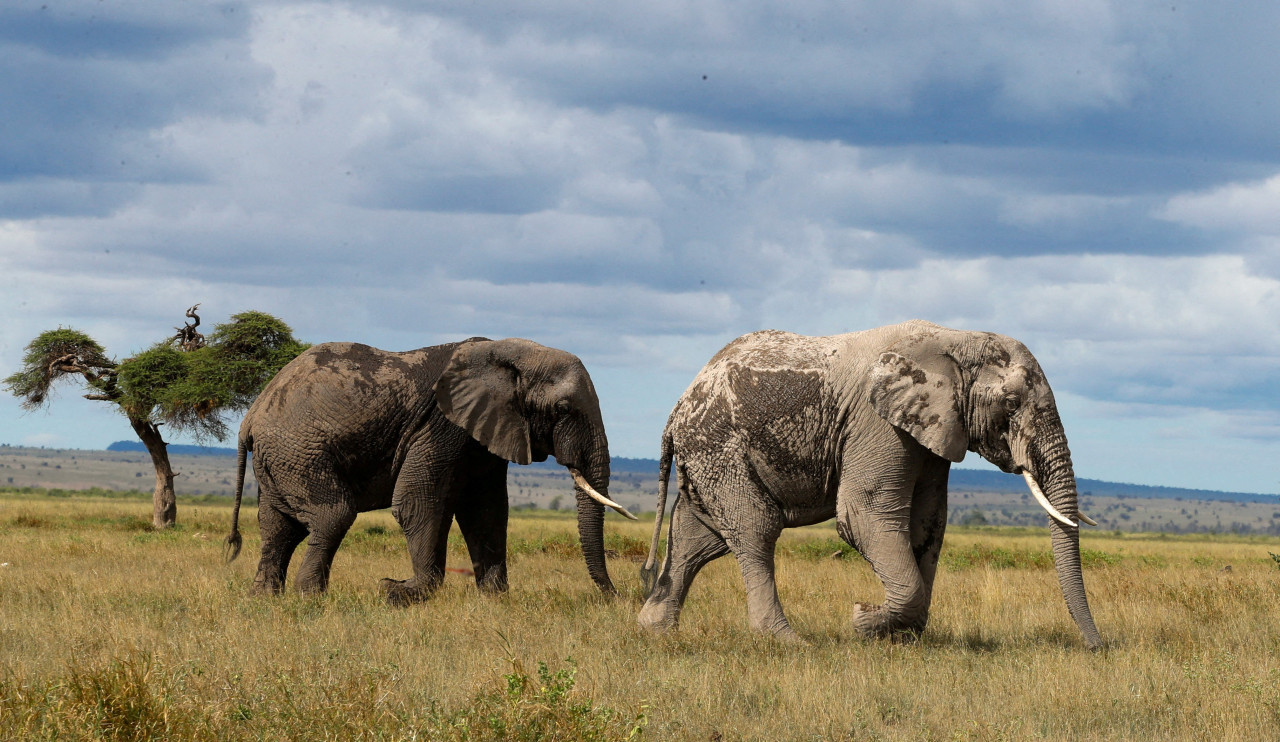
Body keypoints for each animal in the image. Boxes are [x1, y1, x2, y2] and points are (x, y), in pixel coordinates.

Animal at [227, 335, 637, 603]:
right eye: (563, 409)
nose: (615, 598)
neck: (505, 352)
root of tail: (251, 416)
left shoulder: (484, 435)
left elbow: (486, 511)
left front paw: (495, 599)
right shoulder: (441, 425)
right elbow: (417, 502)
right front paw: (399, 591)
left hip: (282, 459)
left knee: (278, 526)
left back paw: (265, 599)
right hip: (299, 452)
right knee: (332, 516)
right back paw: (309, 598)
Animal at [640, 321, 1100, 647]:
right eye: (1010, 403)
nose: (1098, 648)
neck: (957, 339)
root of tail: (678, 406)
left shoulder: (932, 429)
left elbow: (929, 522)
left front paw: (903, 639)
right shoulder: (875, 423)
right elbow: (863, 513)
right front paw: (863, 620)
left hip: (708, 455)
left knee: (697, 537)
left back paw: (655, 629)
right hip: (719, 446)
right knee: (755, 528)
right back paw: (787, 641)